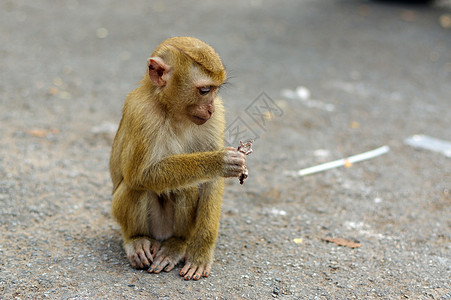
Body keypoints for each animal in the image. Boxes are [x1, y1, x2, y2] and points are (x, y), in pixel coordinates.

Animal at [110, 37, 247, 282]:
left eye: (215, 91)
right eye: (204, 90)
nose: (210, 108)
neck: (172, 111)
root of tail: (161, 236)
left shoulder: (217, 117)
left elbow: (211, 183)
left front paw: (200, 252)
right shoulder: (142, 114)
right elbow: (140, 174)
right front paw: (218, 161)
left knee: (186, 188)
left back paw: (177, 244)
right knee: (136, 187)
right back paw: (136, 239)